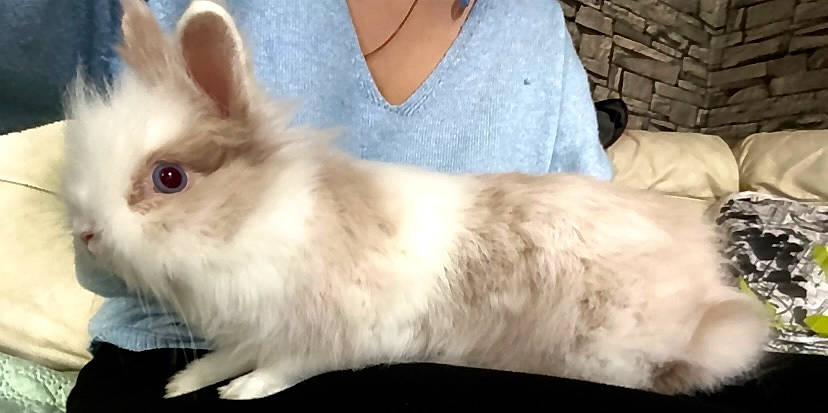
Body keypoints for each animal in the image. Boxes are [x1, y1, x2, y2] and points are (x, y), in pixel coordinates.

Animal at [61, 0, 770, 401]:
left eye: (169, 178)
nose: (86, 232)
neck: (262, 219)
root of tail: (703, 294)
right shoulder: (253, 323)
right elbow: (228, 355)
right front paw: (184, 383)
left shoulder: (329, 334)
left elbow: (286, 367)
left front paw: (242, 393)